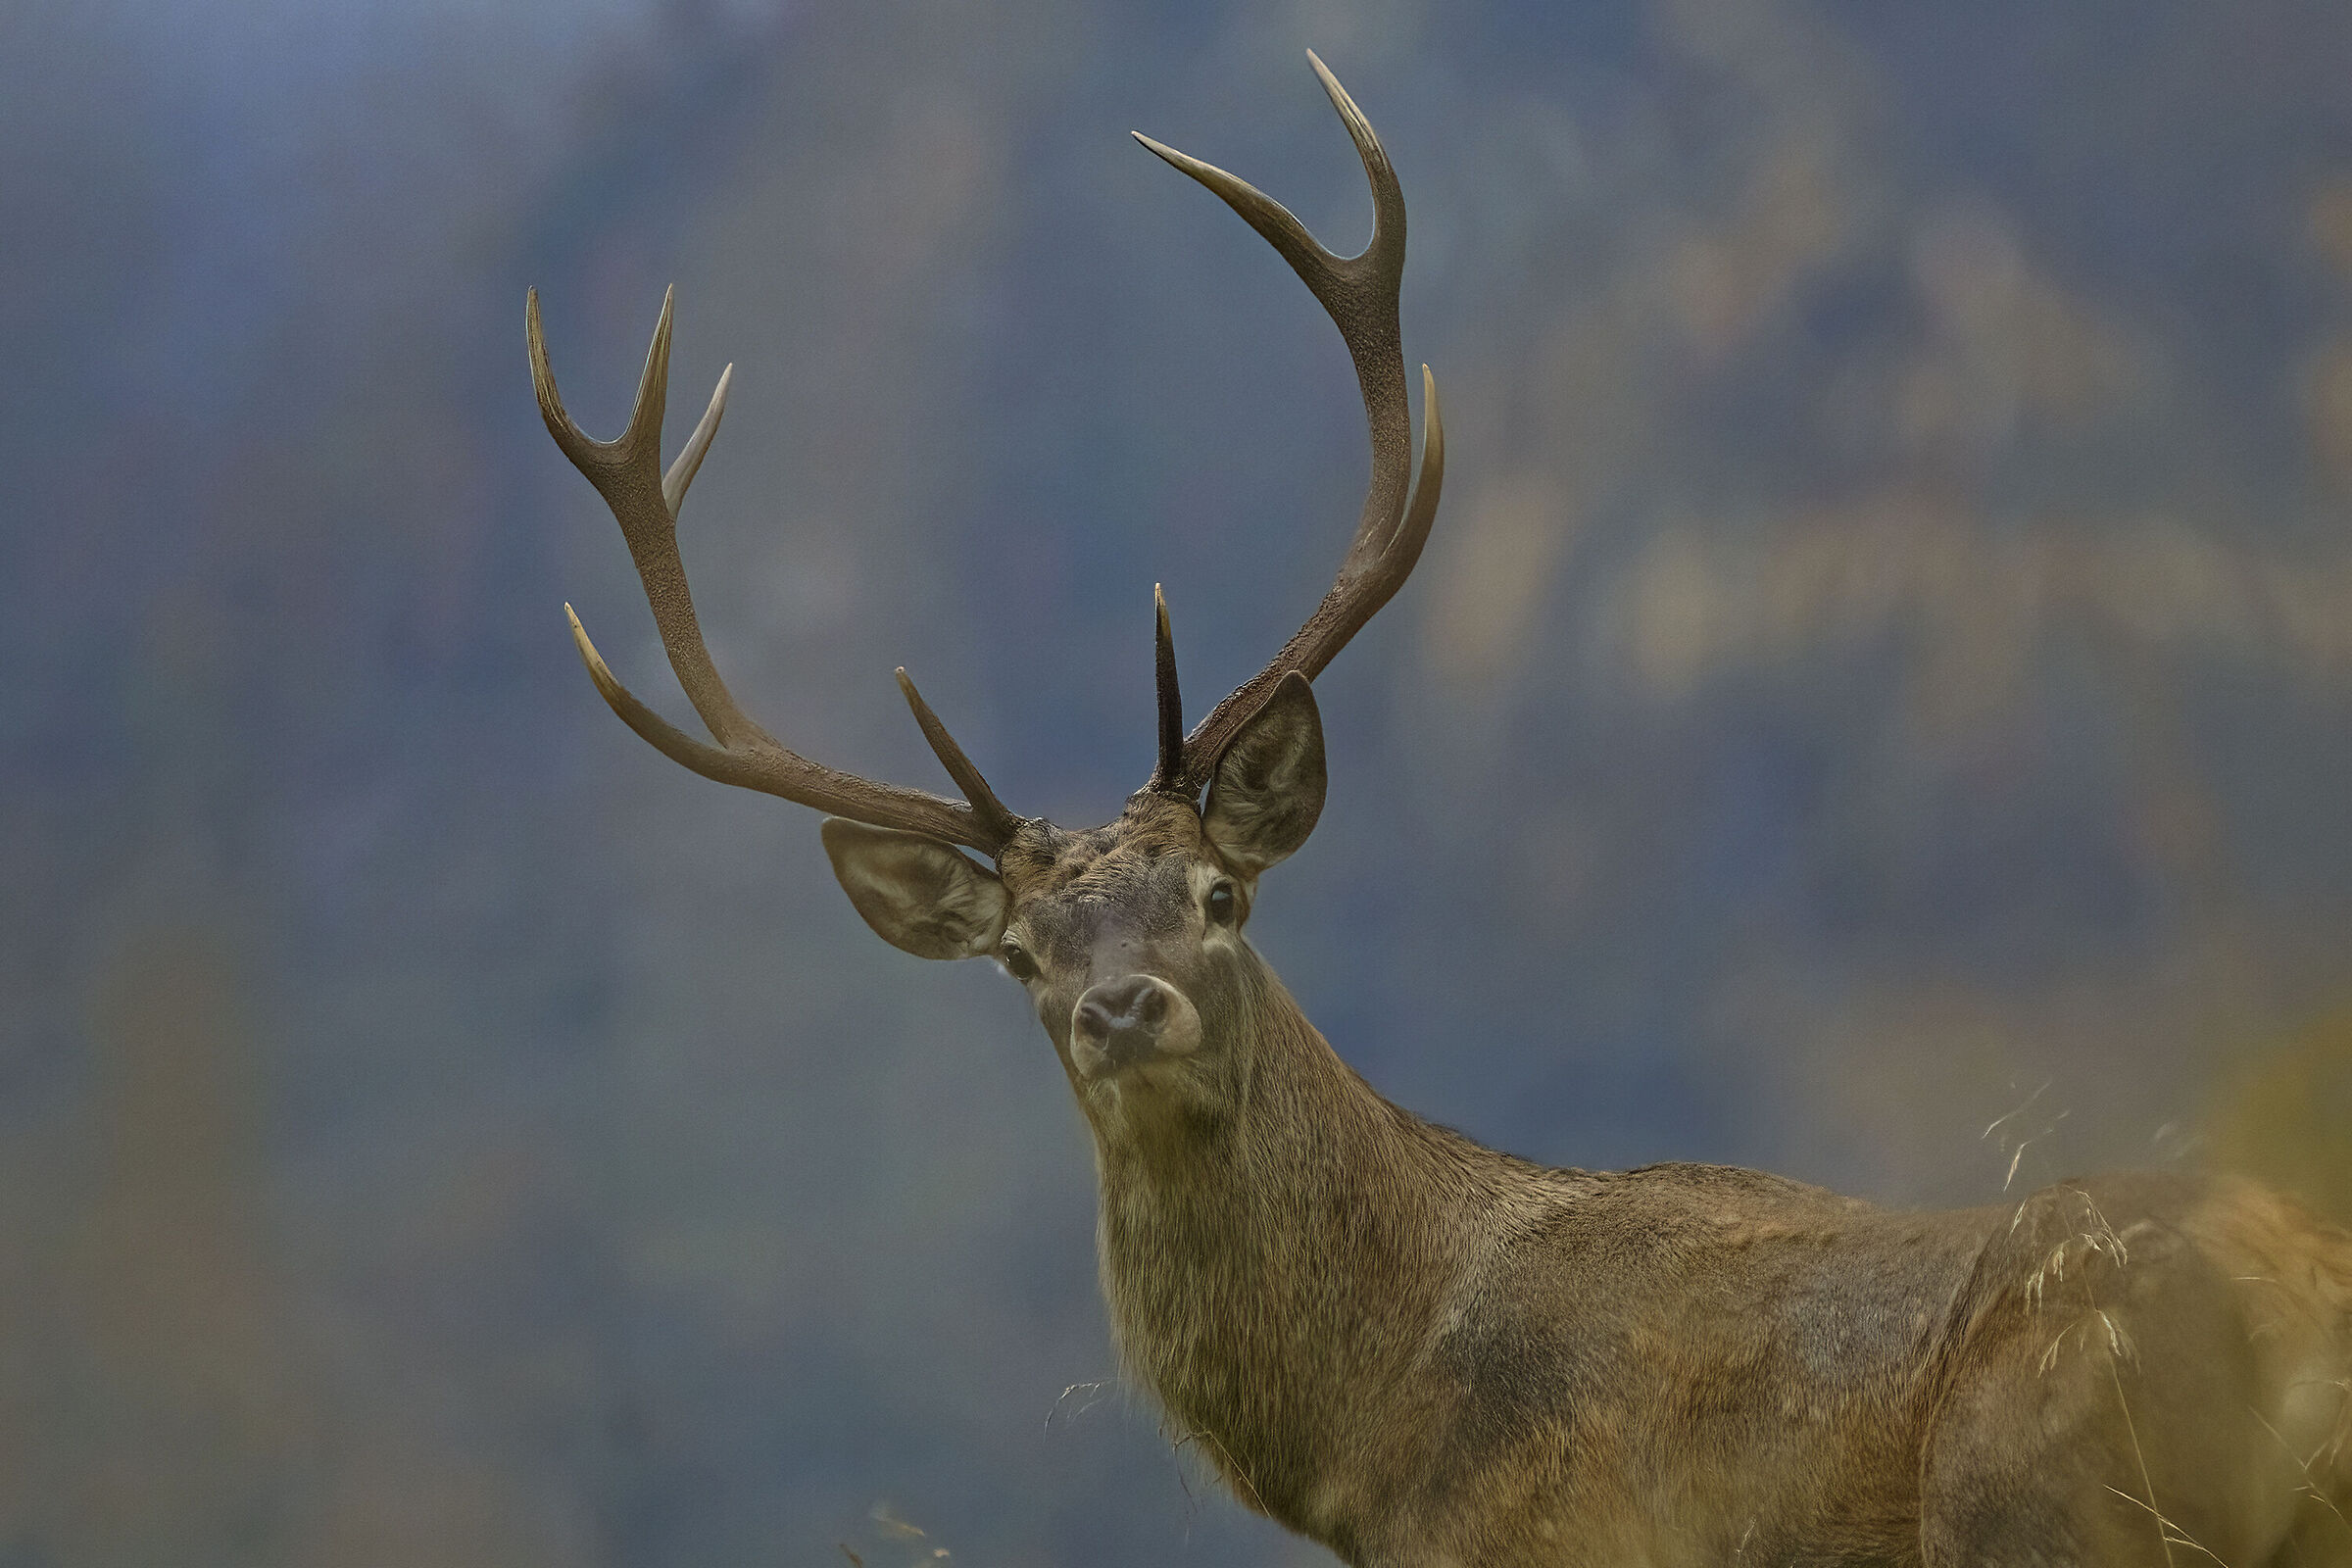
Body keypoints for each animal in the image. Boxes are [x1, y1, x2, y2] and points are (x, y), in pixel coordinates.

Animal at [528, 53, 2352, 1568]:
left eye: (1218, 896)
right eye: (1026, 959)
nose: (1122, 1007)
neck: (1375, 1441)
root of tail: (2296, 1340)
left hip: (2064, 1518)